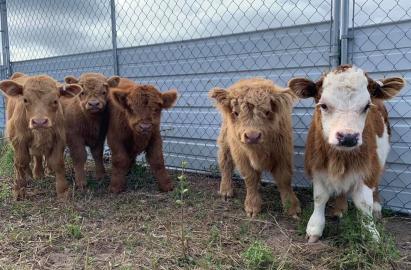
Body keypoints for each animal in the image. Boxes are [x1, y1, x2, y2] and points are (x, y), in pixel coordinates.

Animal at [211, 77, 300, 217]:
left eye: (267, 112)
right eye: (236, 113)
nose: (252, 136)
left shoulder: (283, 153)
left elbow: (284, 179)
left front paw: (291, 207)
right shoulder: (241, 156)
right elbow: (250, 178)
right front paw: (252, 207)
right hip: (225, 141)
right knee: (226, 163)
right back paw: (225, 190)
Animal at [288, 65, 408, 243]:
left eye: (366, 106)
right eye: (323, 105)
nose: (348, 137)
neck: (340, 157)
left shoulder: (368, 168)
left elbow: (364, 204)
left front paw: (371, 234)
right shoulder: (317, 167)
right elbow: (320, 197)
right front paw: (315, 229)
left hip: (380, 158)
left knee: (376, 185)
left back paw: (377, 208)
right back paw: (340, 209)